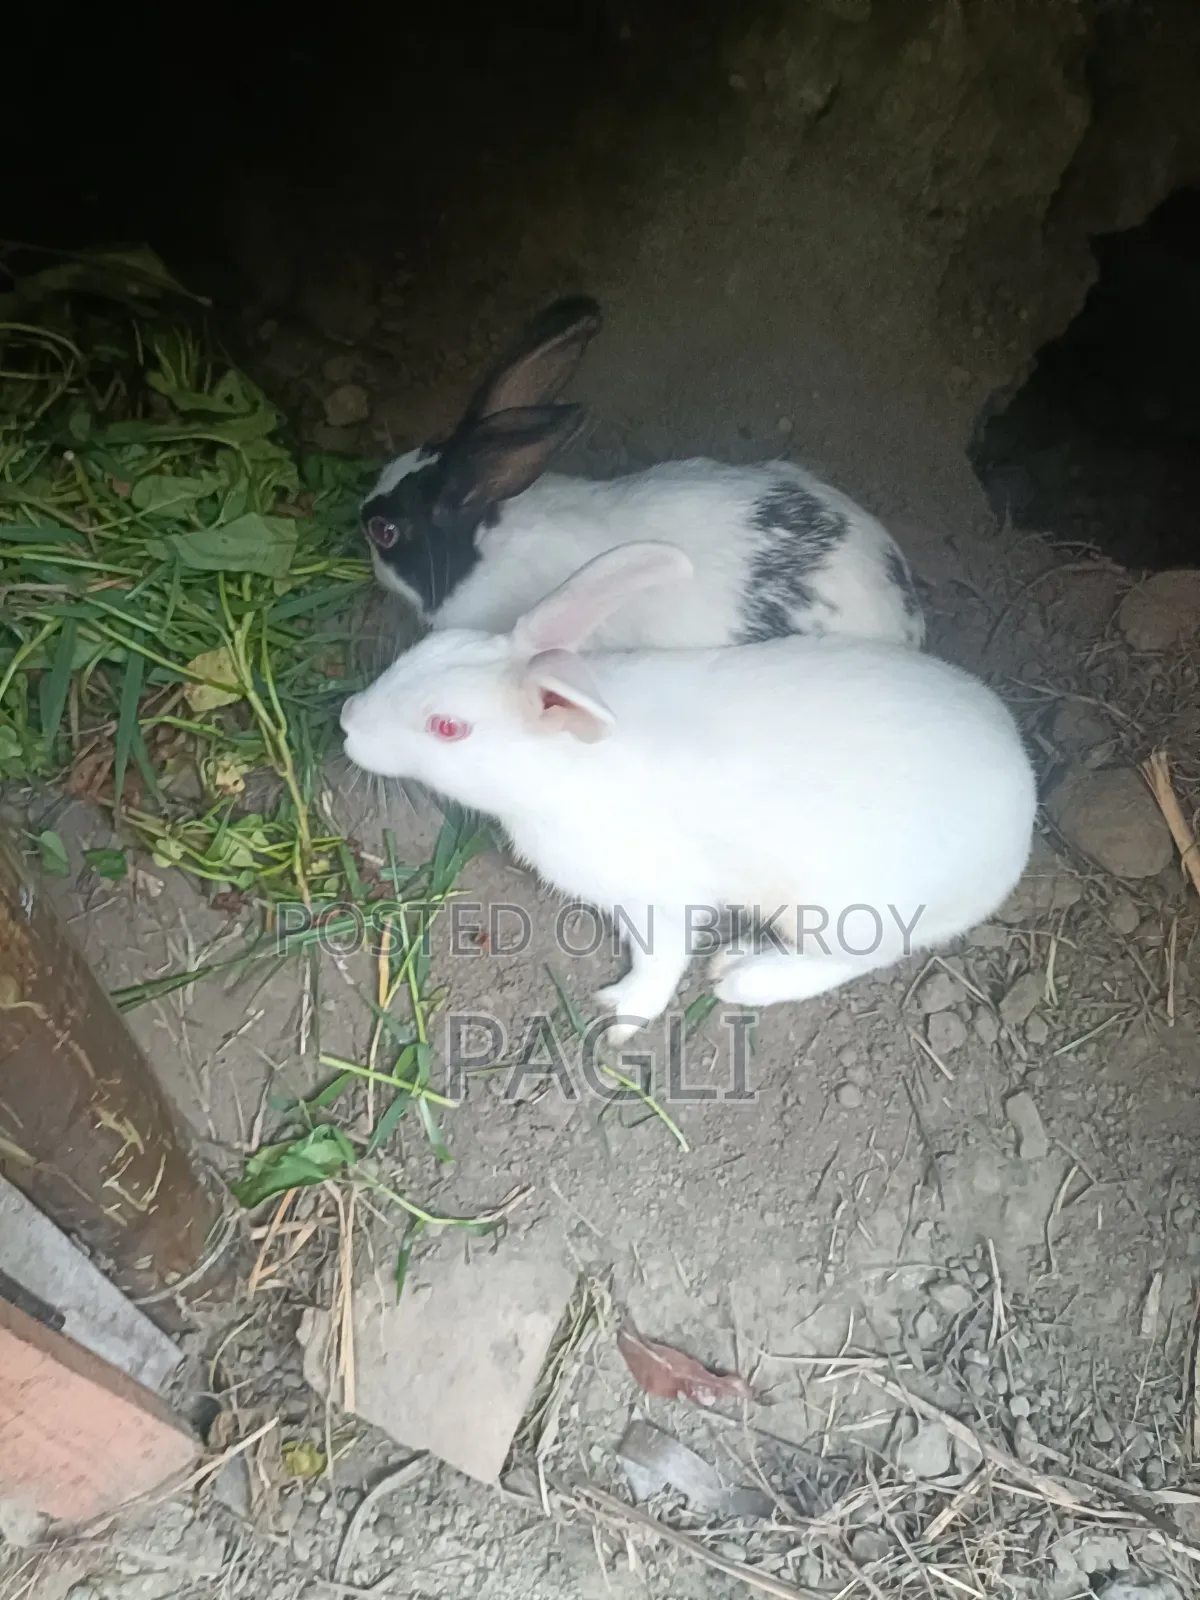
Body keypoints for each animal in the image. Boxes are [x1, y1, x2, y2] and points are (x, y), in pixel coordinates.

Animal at [340, 542, 1037, 1043]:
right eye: (430, 649)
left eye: (447, 727)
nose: (347, 720)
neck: (564, 764)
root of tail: (1022, 805)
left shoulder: (657, 900)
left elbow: (661, 961)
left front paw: (620, 1015)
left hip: (843, 912)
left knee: (847, 961)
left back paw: (741, 979)